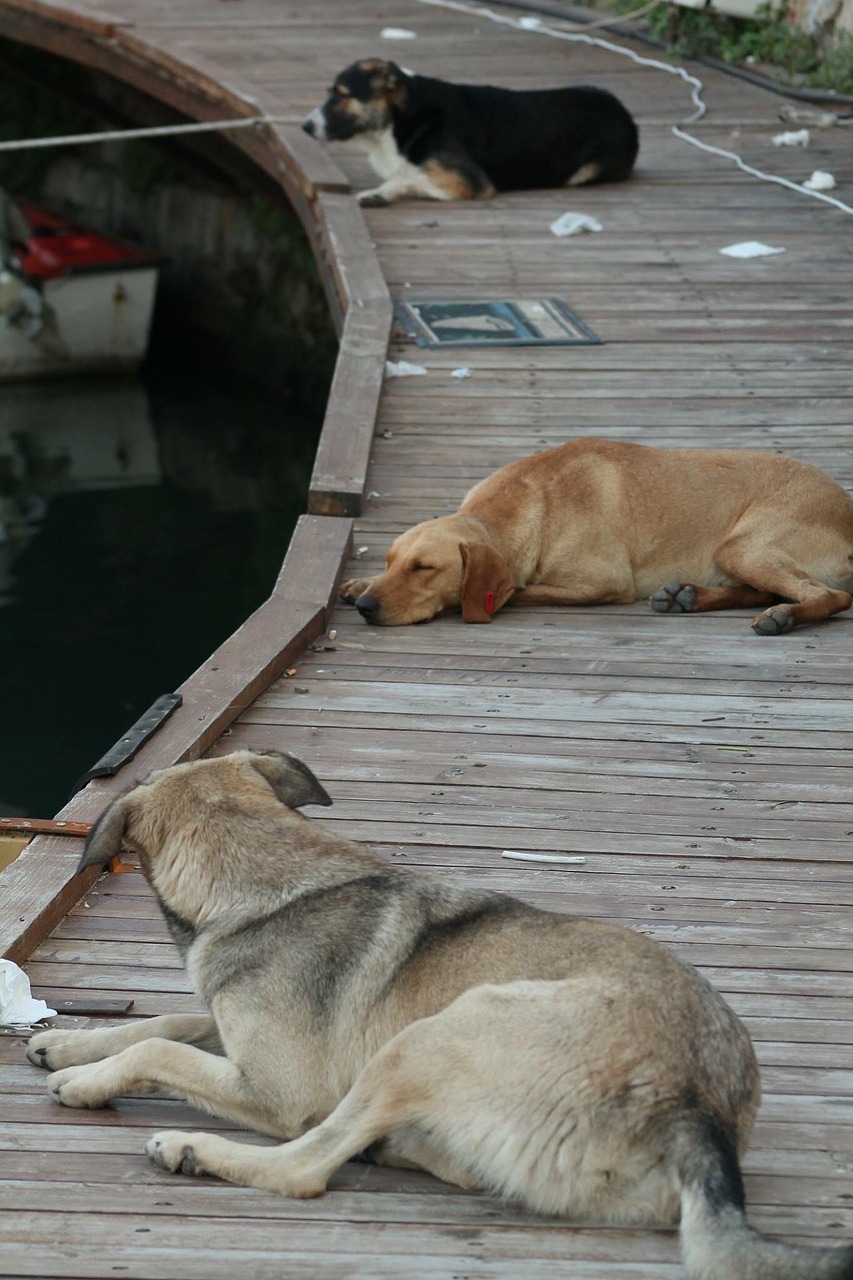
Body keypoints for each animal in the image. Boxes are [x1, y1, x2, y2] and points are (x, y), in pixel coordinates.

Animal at [23, 747, 850, 1280]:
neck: (266, 874)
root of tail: (694, 1110)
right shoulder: (233, 1028)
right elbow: (165, 1023)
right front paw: (71, 1044)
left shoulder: (283, 1090)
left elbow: (163, 1052)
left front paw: (87, 1081)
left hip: (436, 1033)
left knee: (305, 1167)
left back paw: (195, 1149)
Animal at [302, 58, 635, 204]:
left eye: (341, 95)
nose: (304, 126)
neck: (398, 121)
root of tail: (624, 111)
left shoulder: (470, 182)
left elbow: (410, 178)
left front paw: (378, 194)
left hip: (586, 170)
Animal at [338, 437, 850, 632]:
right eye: (389, 561)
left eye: (424, 568)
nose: (365, 608)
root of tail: (846, 505)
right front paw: (359, 582)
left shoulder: (602, 581)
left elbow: (517, 590)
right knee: (758, 590)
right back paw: (686, 596)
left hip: (741, 546)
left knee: (831, 596)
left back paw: (784, 616)